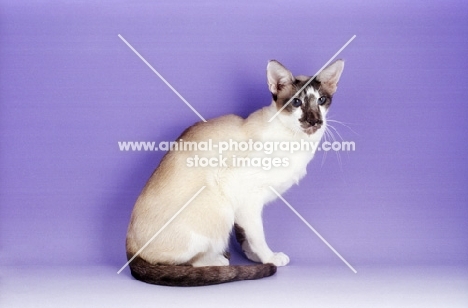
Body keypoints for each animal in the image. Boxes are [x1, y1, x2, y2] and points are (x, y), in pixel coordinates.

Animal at [126, 58, 346, 286]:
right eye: (296, 103)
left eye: (321, 100)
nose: (314, 121)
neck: (297, 142)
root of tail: (129, 246)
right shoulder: (246, 197)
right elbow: (257, 235)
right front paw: (269, 258)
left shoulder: (244, 206)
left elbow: (245, 234)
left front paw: (252, 256)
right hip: (219, 204)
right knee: (189, 262)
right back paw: (218, 261)